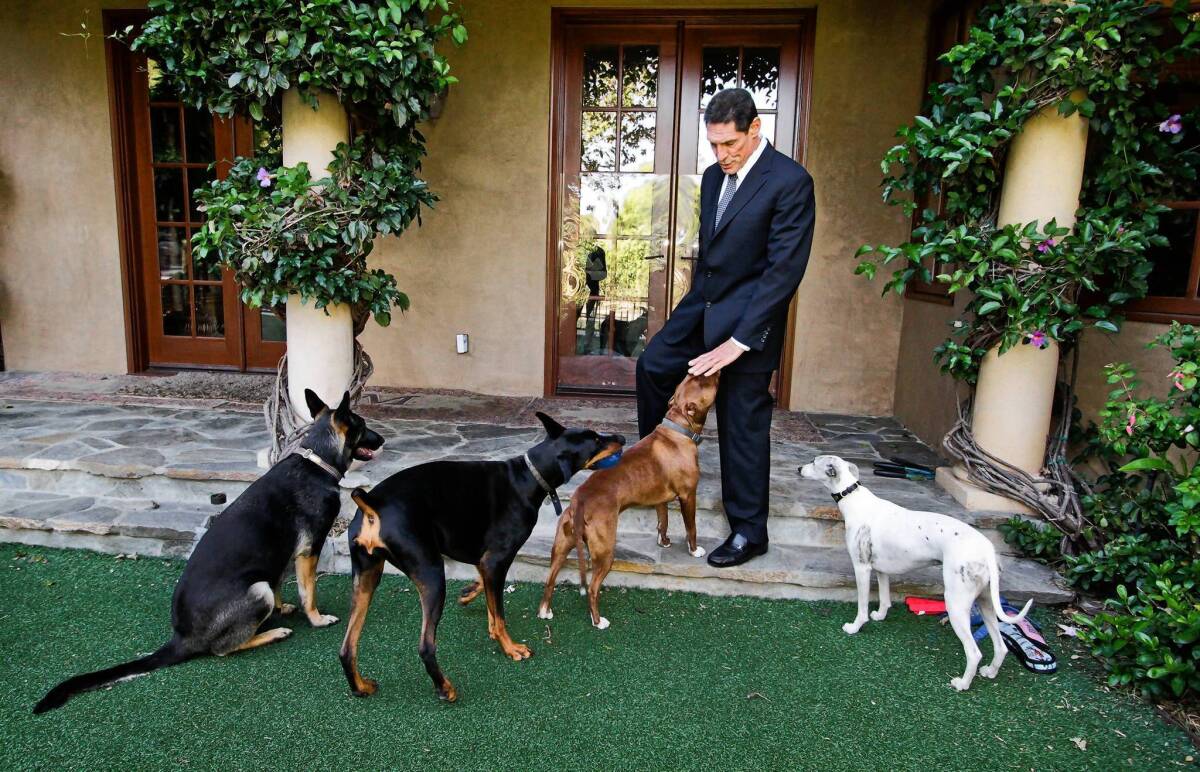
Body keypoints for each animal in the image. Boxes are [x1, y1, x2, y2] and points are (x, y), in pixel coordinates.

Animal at [32, 389, 381, 715]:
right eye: (363, 426)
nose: (383, 440)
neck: (317, 461)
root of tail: (182, 637)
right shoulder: (309, 548)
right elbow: (308, 591)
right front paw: (317, 619)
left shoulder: (284, 555)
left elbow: (281, 580)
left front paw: (284, 607)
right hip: (257, 591)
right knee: (221, 650)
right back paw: (273, 633)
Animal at [336, 413, 624, 705]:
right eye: (596, 440)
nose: (622, 438)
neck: (526, 477)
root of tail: (373, 504)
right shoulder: (498, 559)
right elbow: (500, 614)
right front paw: (511, 648)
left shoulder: (486, 561)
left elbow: (488, 598)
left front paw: (472, 600)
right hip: (430, 572)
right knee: (426, 646)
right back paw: (445, 688)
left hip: (366, 574)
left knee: (347, 647)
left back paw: (361, 686)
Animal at [540, 372, 715, 629]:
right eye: (702, 381)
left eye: (690, 377)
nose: (702, 368)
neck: (677, 429)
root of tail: (579, 502)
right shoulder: (688, 495)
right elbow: (691, 527)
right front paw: (694, 551)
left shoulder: (660, 500)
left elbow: (662, 522)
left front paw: (663, 542)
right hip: (605, 552)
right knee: (592, 589)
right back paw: (598, 621)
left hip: (561, 547)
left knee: (550, 578)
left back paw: (545, 611)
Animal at [796, 456, 1032, 691]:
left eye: (814, 461)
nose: (798, 468)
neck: (854, 498)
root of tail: (987, 550)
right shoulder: (881, 570)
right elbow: (885, 599)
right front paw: (880, 616)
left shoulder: (862, 568)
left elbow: (862, 607)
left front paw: (854, 627)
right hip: (986, 602)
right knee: (1001, 647)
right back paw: (990, 672)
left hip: (955, 604)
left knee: (974, 653)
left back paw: (962, 683)